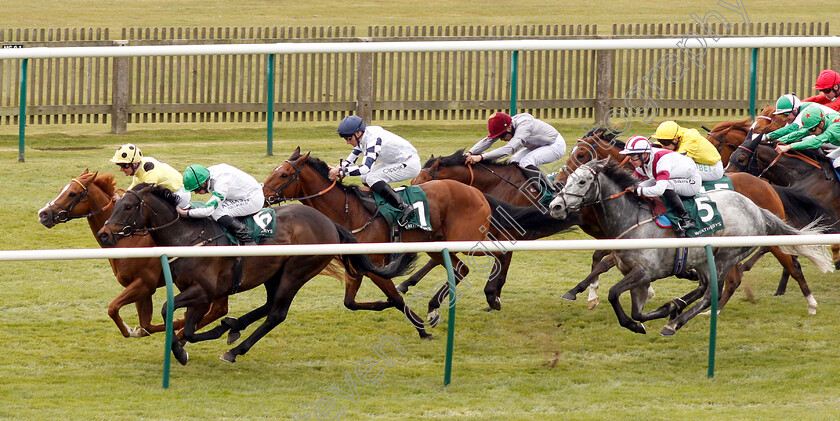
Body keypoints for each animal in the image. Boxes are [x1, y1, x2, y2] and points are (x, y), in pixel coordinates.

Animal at [38, 169, 228, 336]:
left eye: (72, 193)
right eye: (62, 190)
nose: (43, 214)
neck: (126, 240)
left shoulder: (145, 283)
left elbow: (113, 308)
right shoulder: (139, 287)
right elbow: (145, 325)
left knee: (217, 309)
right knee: (220, 309)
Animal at [98, 184, 426, 364]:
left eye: (128, 206)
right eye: (115, 203)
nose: (103, 235)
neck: (190, 235)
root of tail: (330, 223)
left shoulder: (203, 290)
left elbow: (169, 310)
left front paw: (180, 351)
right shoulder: (199, 293)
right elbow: (188, 327)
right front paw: (196, 339)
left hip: (296, 271)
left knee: (276, 313)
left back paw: (235, 349)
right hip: (274, 273)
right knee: (268, 306)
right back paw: (233, 328)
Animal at [560, 127, 832, 312]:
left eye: (581, 154)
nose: (560, 181)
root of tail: (767, 186)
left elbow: (602, 261)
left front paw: (586, 292)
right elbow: (601, 260)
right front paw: (582, 292)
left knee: (789, 265)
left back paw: (810, 303)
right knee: (737, 277)